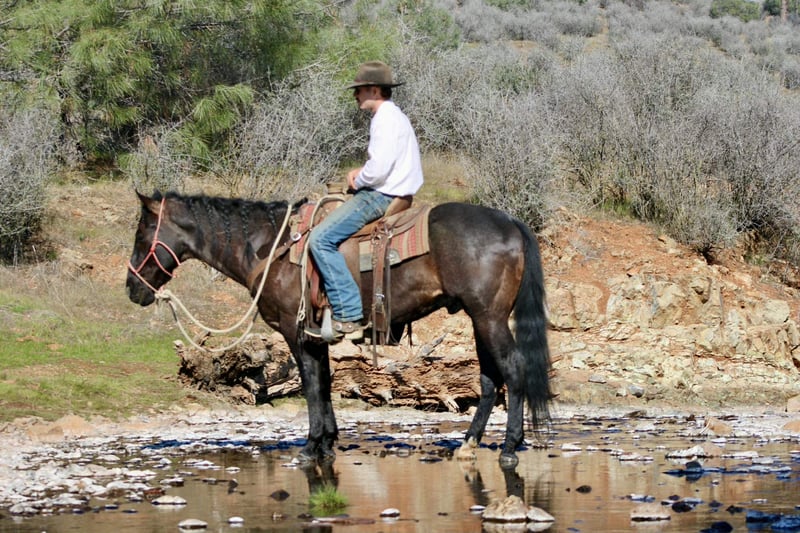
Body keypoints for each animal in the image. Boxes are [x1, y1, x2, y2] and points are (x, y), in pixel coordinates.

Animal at [126, 191, 552, 466]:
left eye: (142, 233)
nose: (132, 288)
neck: (270, 247)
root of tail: (511, 222)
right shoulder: (318, 337)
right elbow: (326, 383)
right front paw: (328, 442)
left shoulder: (296, 333)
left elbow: (312, 385)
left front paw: (311, 446)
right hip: (480, 319)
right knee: (488, 378)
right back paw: (468, 443)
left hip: (489, 317)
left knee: (513, 371)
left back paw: (510, 446)